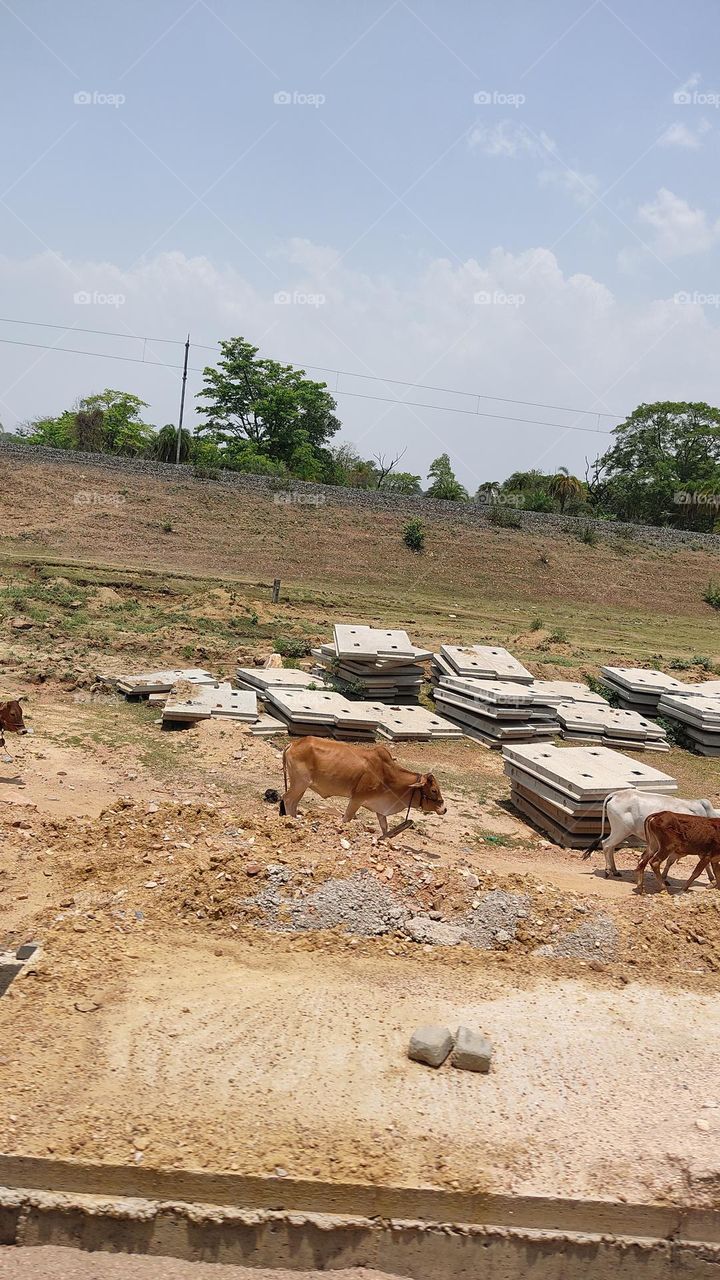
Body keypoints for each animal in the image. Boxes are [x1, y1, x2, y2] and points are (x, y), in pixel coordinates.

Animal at [279, 736, 447, 840]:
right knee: (287, 799)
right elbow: (346, 818)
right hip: (299, 783)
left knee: (293, 803)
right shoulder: (357, 799)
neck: (389, 775)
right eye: (433, 790)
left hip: (301, 786)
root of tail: (293, 743)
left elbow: (385, 828)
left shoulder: (380, 807)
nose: (444, 809)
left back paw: (295, 819)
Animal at [583, 789, 719, 879]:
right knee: (606, 844)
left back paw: (615, 871)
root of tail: (616, 794)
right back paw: (607, 871)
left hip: (619, 832)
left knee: (611, 847)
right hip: (621, 831)